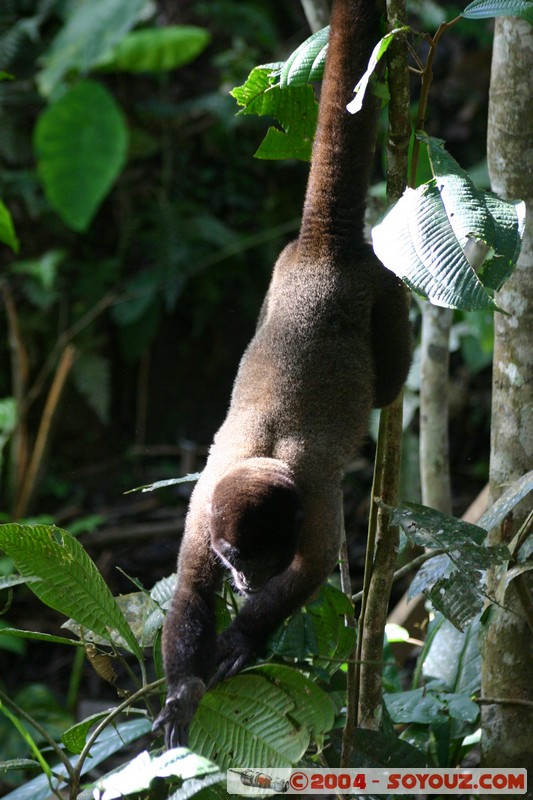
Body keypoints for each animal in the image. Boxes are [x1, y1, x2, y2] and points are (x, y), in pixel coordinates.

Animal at [153, 0, 412, 748]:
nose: (243, 583)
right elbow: (189, 588)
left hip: (382, 287)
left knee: (390, 377)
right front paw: (183, 689)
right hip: (277, 275)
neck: (266, 461)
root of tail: (324, 250)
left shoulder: (316, 502)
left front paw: (245, 634)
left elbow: (312, 569)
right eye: (231, 561)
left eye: (258, 560)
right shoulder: (203, 512)